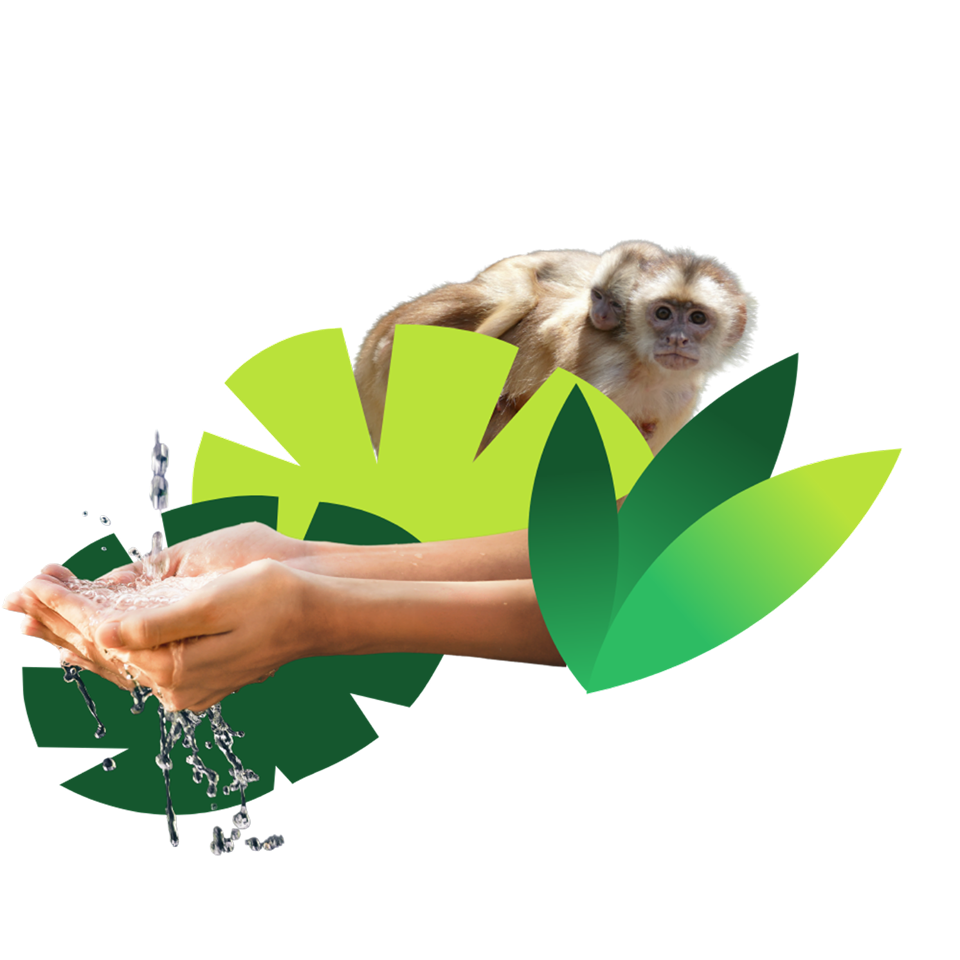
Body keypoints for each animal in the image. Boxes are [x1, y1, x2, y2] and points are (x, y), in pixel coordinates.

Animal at [353, 241, 757, 458]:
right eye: (662, 313)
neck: (643, 367)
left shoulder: (680, 400)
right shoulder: (601, 370)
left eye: (697, 319)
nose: (676, 339)